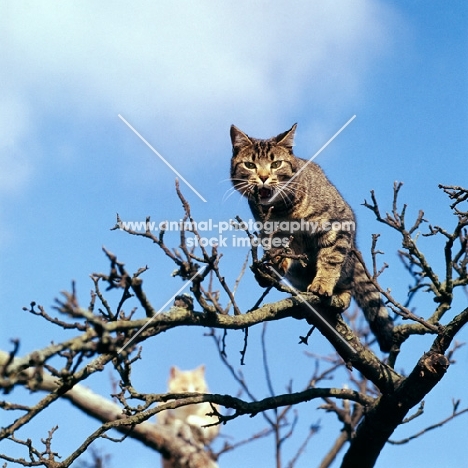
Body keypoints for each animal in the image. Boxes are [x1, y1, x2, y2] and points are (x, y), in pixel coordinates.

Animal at [230, 123, 394, 352]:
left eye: (276, 164)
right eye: (250, 165)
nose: (263, 177)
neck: (282, 210)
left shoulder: (337, 224)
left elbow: (330, 258)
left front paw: (322, 284)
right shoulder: (272, 232)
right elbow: (279, 249)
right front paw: (275, 263)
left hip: (349, 258)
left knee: (349, 282)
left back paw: (340, 295)